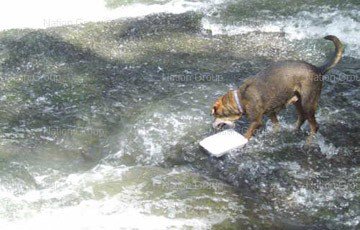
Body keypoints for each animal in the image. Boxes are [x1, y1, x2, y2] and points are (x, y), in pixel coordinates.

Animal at [211, 35, 344, 139]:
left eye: (216, 116)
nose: (212, 126)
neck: (241, 98)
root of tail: (318, 68)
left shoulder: (256, 121)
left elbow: (247, 135)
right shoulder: (271, 113)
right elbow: (277, 126)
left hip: (308, 104)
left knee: (315, 126)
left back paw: (309, 141)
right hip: (298, 101)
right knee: (302, 118)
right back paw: (293, 130)